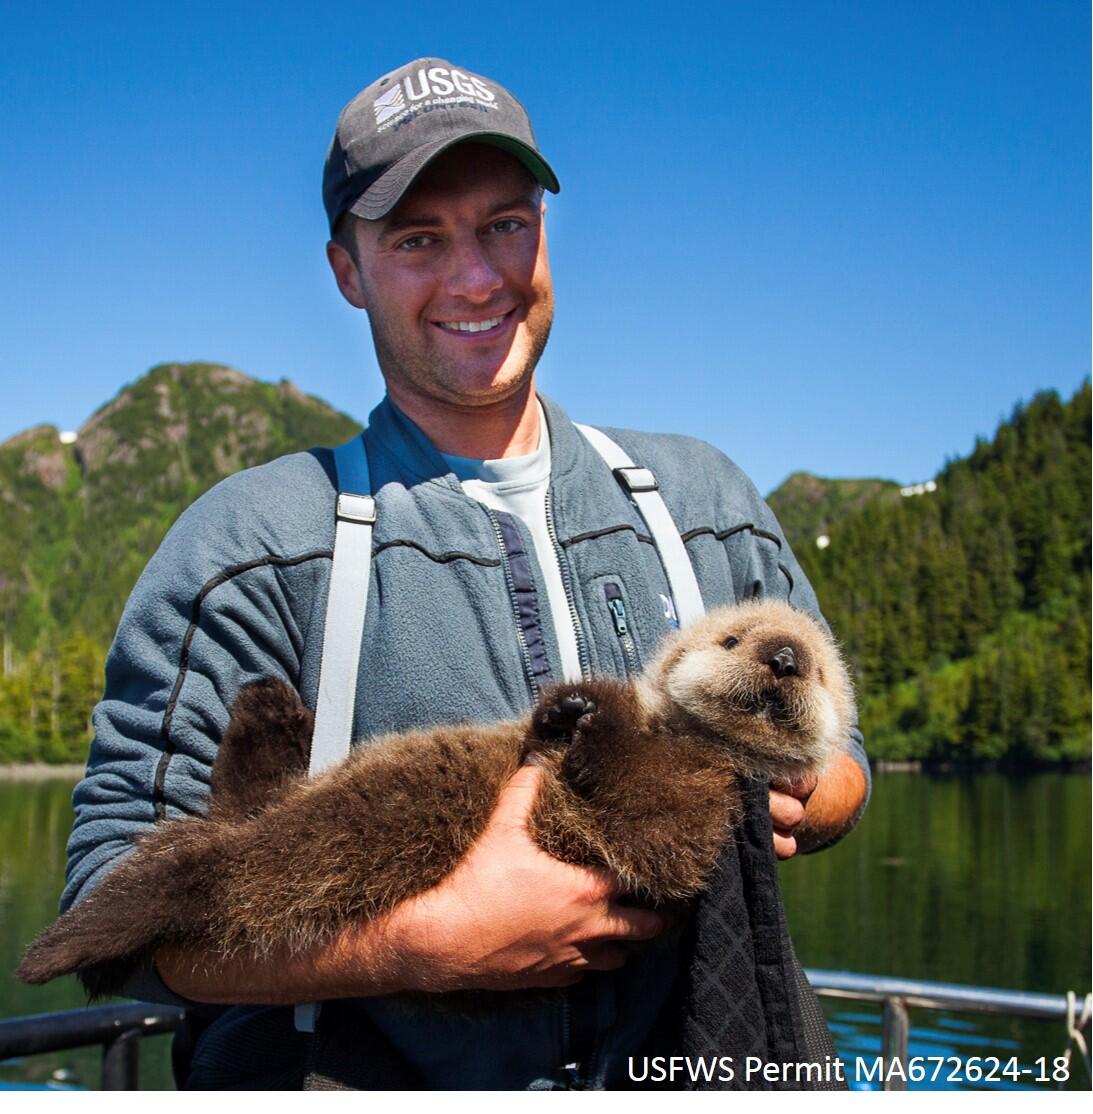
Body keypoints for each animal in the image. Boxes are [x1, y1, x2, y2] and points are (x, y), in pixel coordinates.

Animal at [18, 598, 853, 998]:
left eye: (813, 670)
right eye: (733, 641)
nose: (783, 658)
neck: (677, 733)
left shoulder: (692, 808)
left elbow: (644, 823)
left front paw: (593, 706)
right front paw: (564, 707)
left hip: (286, 857)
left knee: (186, 876)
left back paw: (49, 951)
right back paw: (268, 702)